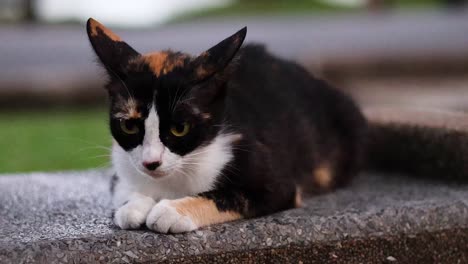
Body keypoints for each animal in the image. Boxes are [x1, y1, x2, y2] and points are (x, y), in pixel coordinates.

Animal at [86, 18, 368, 233]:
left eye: (180, 129)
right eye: (129, 126)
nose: (151, 163)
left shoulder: (274, 181)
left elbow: (232, 196)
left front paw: (172, 210)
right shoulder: (122, 167)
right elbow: (123, 187)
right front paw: (132, 207)